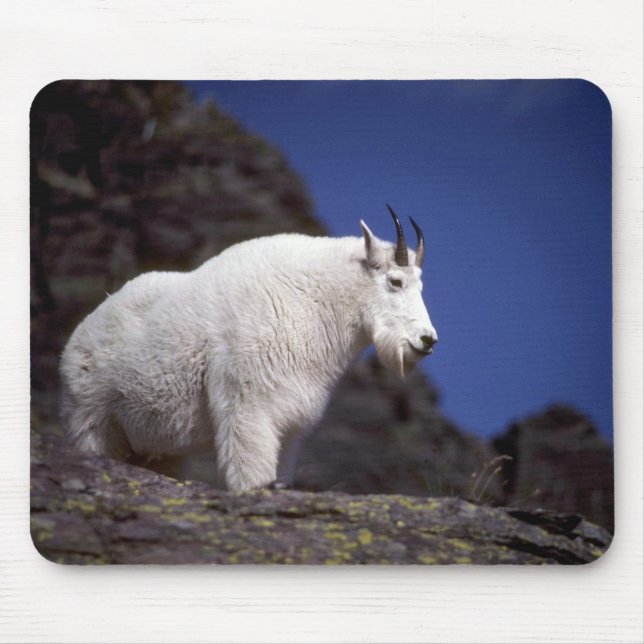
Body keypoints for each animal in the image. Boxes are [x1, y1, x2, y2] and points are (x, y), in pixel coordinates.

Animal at [60, 206, 438, 491]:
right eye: (395, 281)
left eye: (421, 286)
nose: (427, 340)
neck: (313, 302)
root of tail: (77, 338)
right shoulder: (247, 405)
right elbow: (251, 470)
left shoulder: (290, 423)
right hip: (92, 419)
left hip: (160, 446)